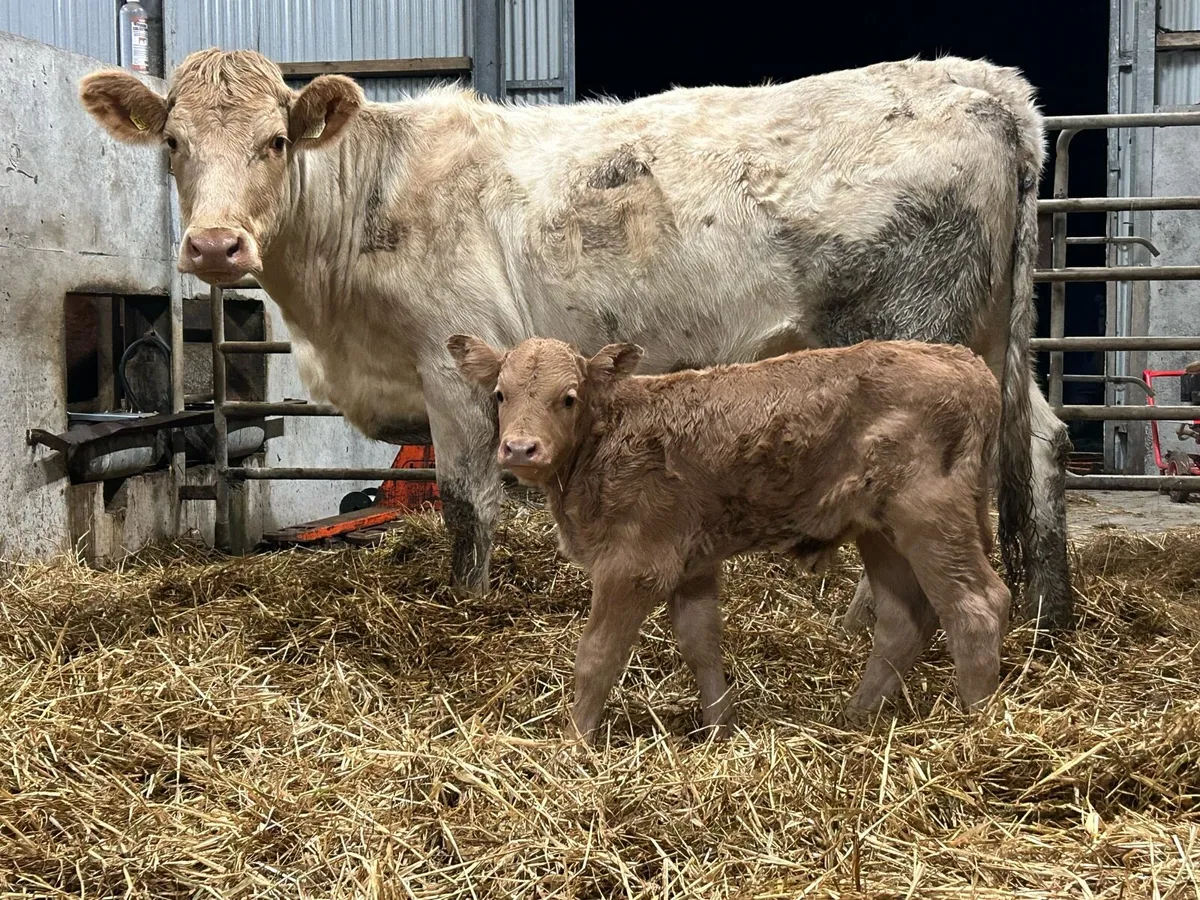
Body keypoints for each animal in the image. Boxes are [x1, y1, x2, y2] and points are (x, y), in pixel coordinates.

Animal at [77, 49, 1073, 629]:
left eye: (277, 141)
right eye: (172, 142)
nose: (214, 245)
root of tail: (985, 84)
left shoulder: (454, 360)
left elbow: (466, 500)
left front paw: (466, 607)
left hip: (910, 334)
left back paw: (874, 620)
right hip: (993, 334)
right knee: (1041, 443)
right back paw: (1047, 614)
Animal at [448, 334, 1010, 739]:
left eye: (567, 398)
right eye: (500, 395)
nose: (521, 448)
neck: (603, 443)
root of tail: (971, 366)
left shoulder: (632, 566)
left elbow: (597, 656)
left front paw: (573, 741)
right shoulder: (690, 562)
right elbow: (700, 643)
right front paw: (719, 729)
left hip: (930, 514)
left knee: (976, 605)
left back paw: (979, 727)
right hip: (880, 529)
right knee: (902, 619)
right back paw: (854, 717)